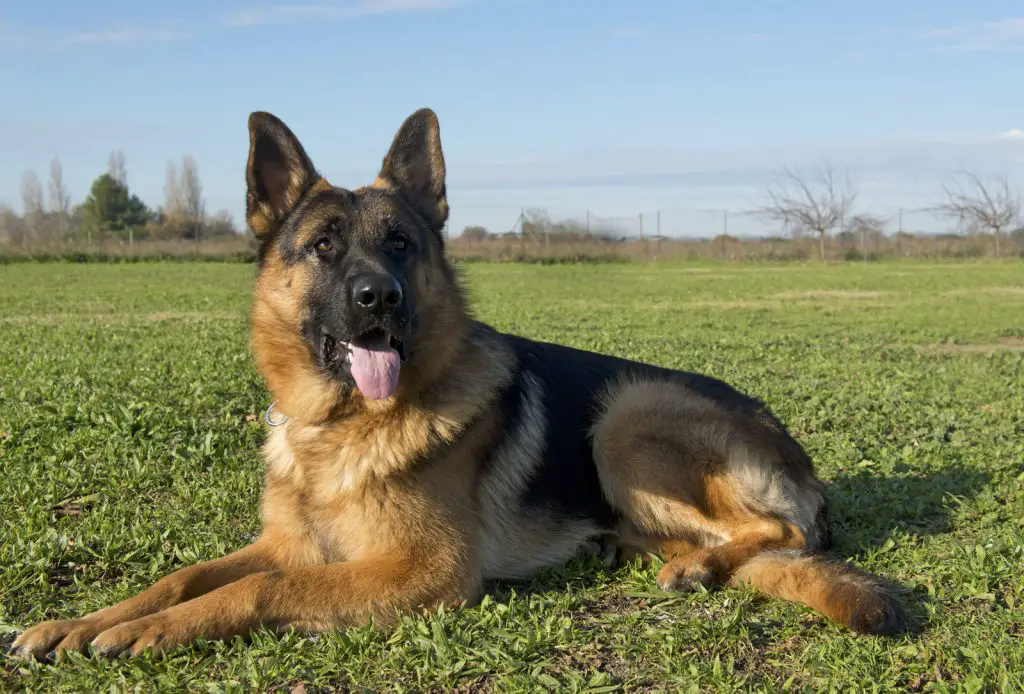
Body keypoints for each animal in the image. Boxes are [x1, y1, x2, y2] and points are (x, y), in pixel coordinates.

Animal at [9, 110, 905, 663]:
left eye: (401, 244)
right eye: (325, 245)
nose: (379, 299)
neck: (338, 429)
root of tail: (793, 453)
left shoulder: (419, 572)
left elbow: (265, 587)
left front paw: (151, 634)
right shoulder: (289, 541)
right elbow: (184, 576)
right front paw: (77, 624)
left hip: (626, 415)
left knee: (785, 532)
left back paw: (701, 566)